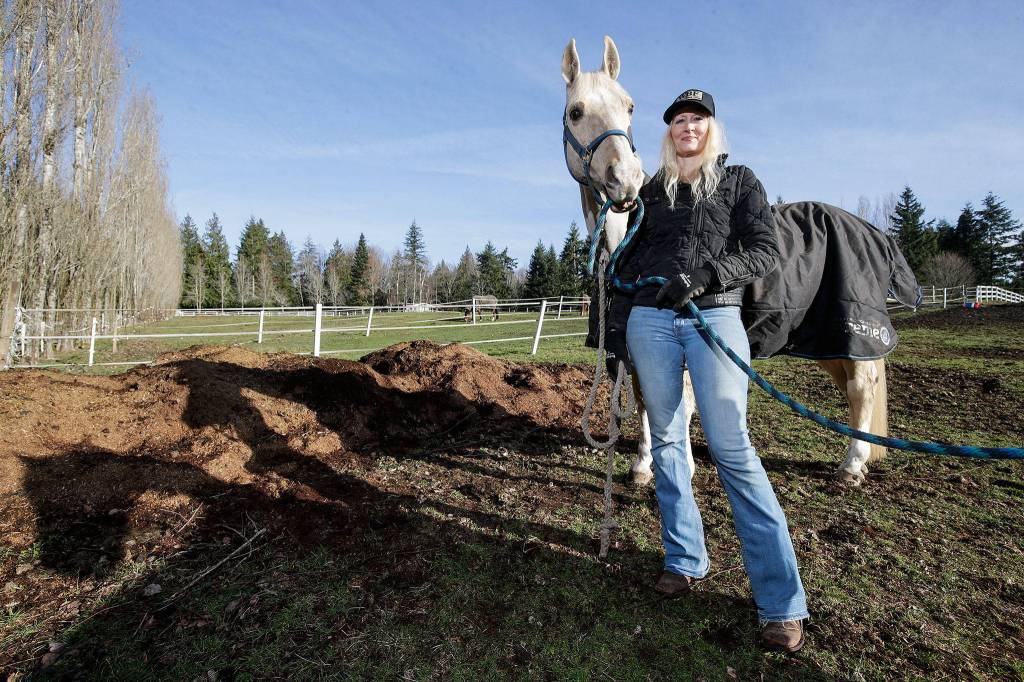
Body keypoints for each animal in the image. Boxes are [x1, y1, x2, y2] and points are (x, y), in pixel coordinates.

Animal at [562, 36, 893, 487]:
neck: (622, 248)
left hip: (854, 333)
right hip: (831, 343)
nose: (625, 179)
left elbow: (679, 404)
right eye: (576, 111)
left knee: (863, 385)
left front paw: (676, 469)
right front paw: (643, 465)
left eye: (629, 106)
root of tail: (871, 231)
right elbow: (645, 398)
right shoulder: (631, 343)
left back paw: (853, 465)